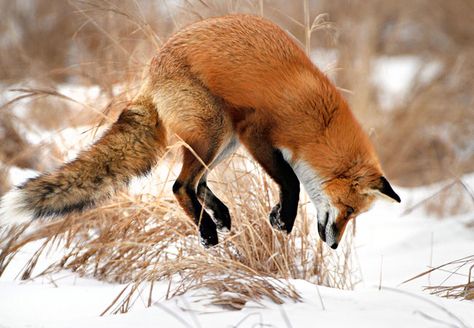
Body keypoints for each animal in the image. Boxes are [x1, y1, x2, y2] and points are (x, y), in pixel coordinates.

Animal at [0, 13, 400, 249]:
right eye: (348, 210)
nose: (333, 245)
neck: (319, 123)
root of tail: (151, 72)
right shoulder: (257, 132)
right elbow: (291, 180)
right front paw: (284, 220)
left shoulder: (255, 140)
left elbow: (290, 181)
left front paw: (276, 216)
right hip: (218, 130)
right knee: (181, 185)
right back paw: (207, 231)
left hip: (223, 140)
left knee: (198, 181)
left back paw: (218, 215)